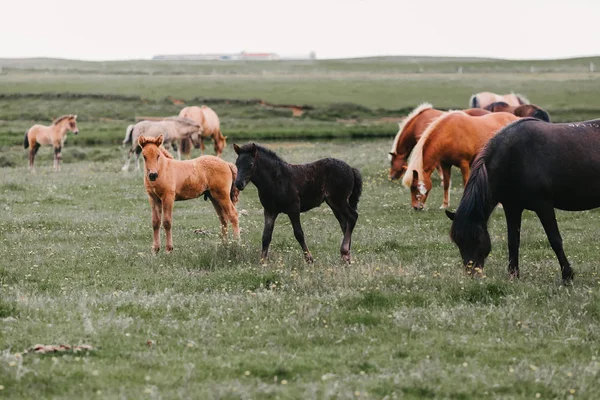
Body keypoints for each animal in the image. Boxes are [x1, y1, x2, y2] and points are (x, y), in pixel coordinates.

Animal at [446, 117, 600, 282]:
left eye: (477, 238)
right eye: (458, 241)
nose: (473, 274)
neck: (512, 158)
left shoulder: (543, 206)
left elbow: (555, 240)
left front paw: (567, 275)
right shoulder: (512, 207)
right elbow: (513, 241)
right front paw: (513, 275)